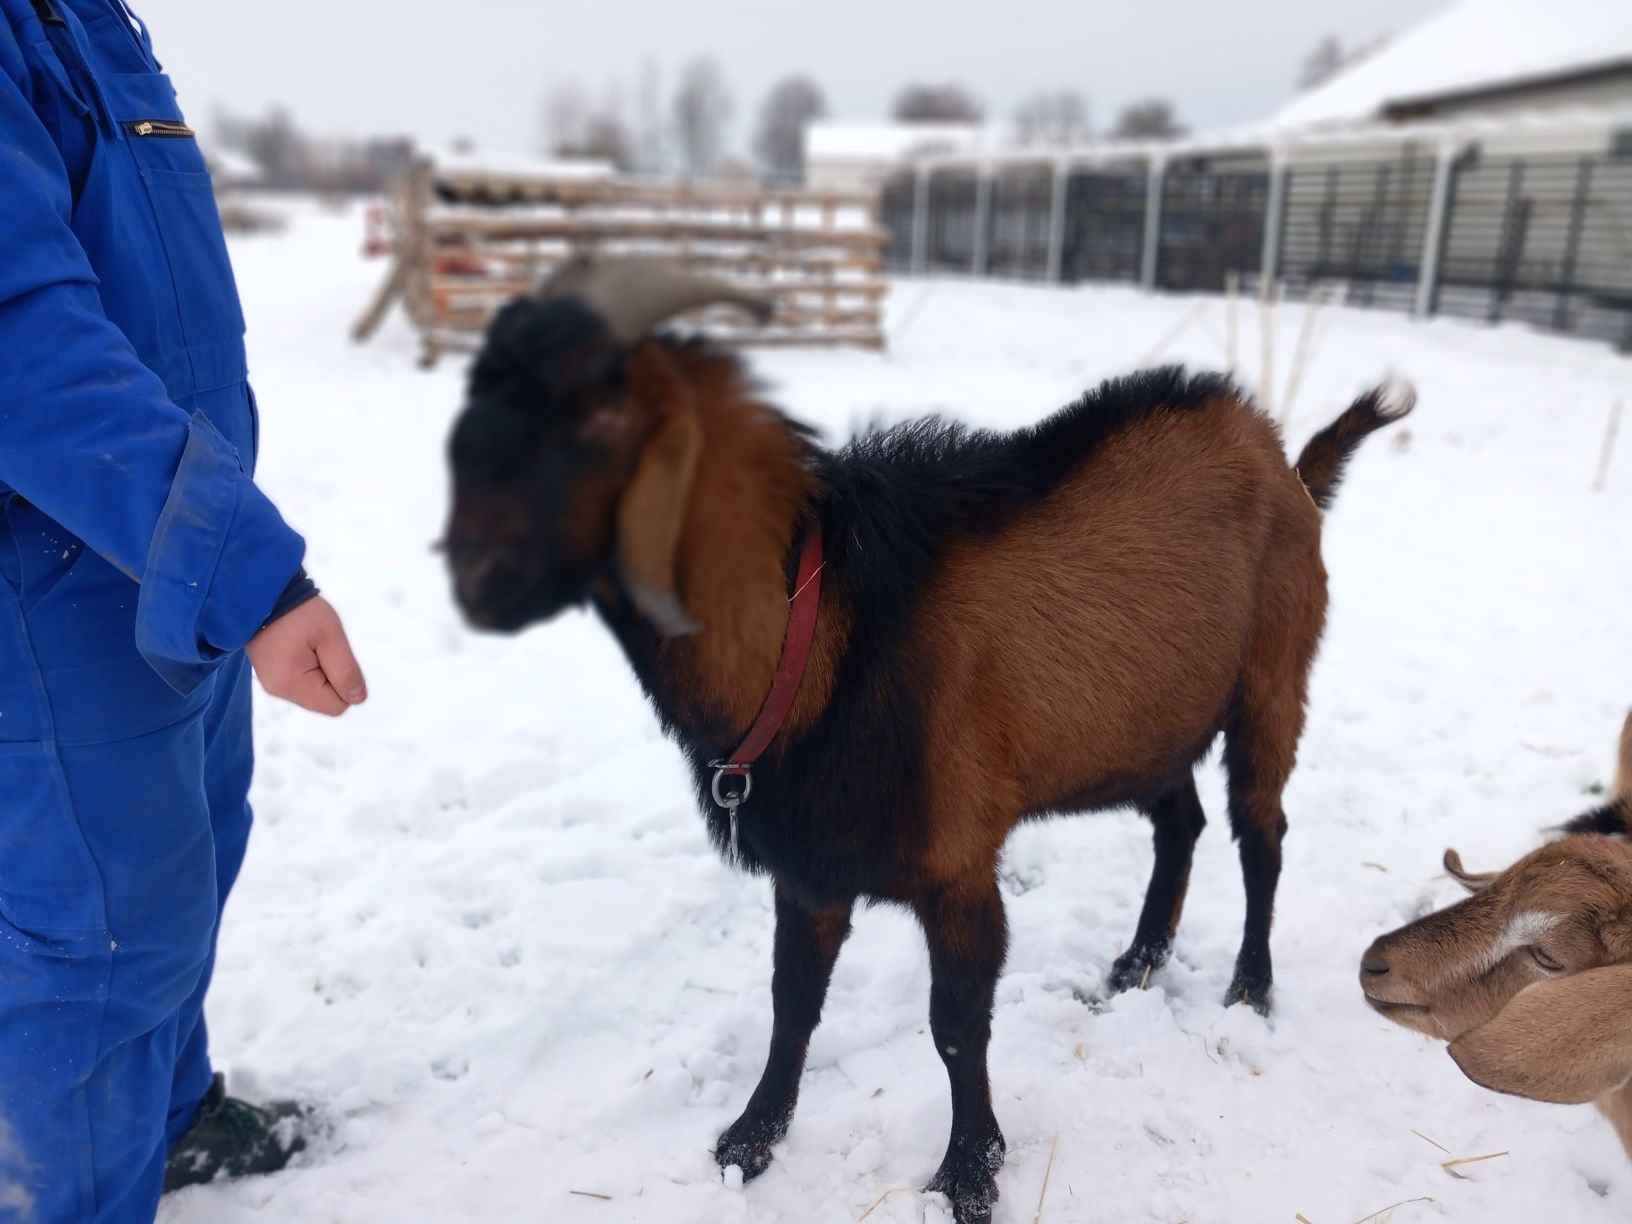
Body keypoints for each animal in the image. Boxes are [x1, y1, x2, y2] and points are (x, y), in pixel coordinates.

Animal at [447, 261, 1416, 1224]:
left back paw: (1249, 990)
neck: (825, 640)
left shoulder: (957, 861)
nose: (475, 580)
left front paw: (969, 1175)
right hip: (1149, 724)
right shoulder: (812, 864)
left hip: (1272, 681)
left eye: (602, 418)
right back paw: (1138, 962)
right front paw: (751, 1140)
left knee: (1261, 834)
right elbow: (791, 1002)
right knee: (1180, 823)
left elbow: (955, 1026)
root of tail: (1288, 464)